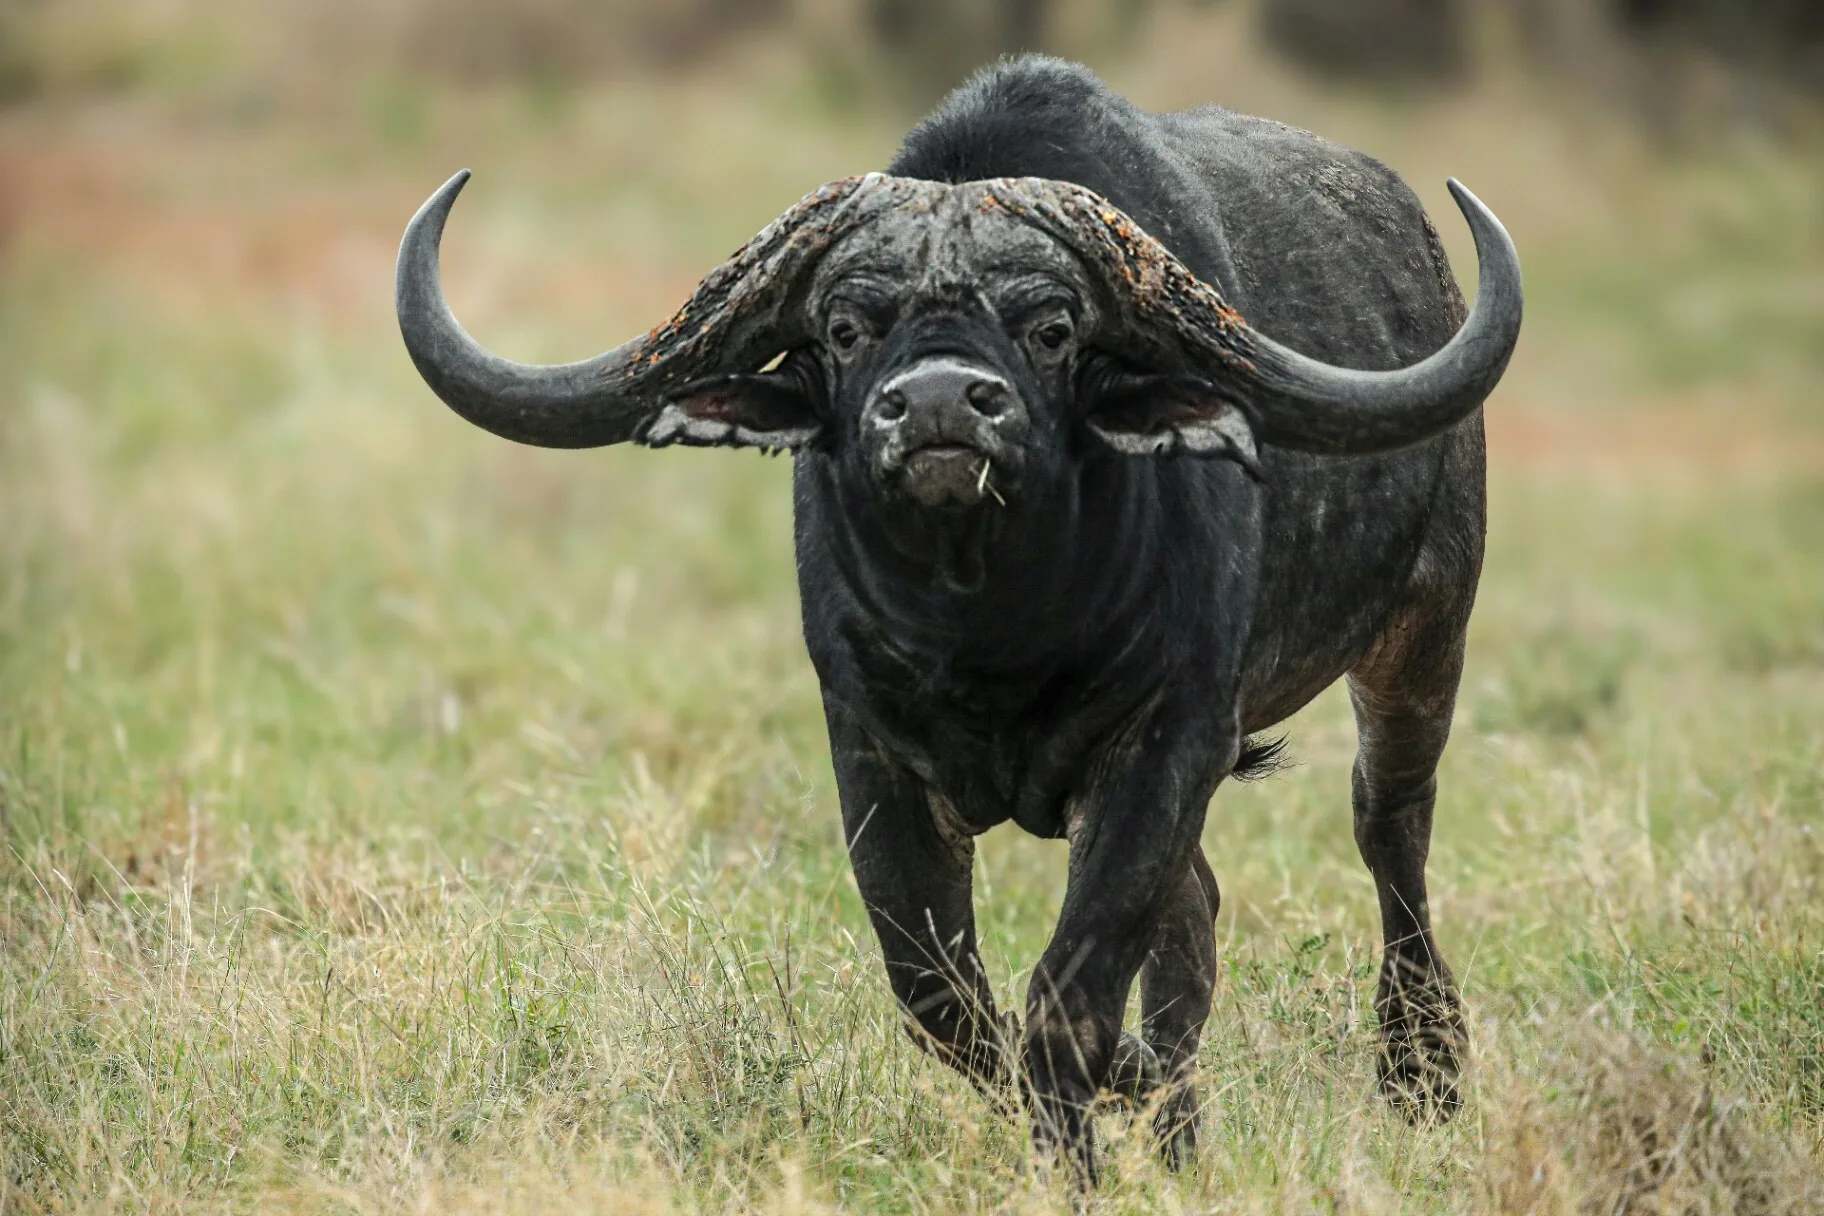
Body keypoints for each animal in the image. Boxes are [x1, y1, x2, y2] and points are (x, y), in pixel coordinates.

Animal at [396, 55, 1522, 1183]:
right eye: (846, 327)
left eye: (1052, 329)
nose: (940, 404)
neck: (992, 633)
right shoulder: (870, 752)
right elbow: (942, 997)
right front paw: (1121, 1092)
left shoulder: (1169, 740)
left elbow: (1067, 996)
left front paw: (1081, 1152)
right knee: (1196, 915)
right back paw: (1178, 1129)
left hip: (1428, 631)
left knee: (1388, 828)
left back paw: (1421, 1073)